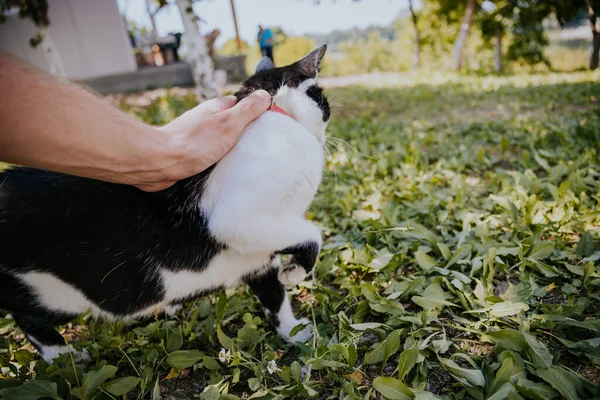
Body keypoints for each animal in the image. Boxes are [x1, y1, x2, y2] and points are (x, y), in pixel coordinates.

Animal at [0, 46, 328, 362]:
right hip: (50, 295)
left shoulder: (260, 258)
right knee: (30, 322)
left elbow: (276, 297)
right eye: (324, 103)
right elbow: (312, 234)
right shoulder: (237, 221)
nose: (325, 134)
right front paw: (296, 272)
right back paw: (65, 357)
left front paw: (293, 332)